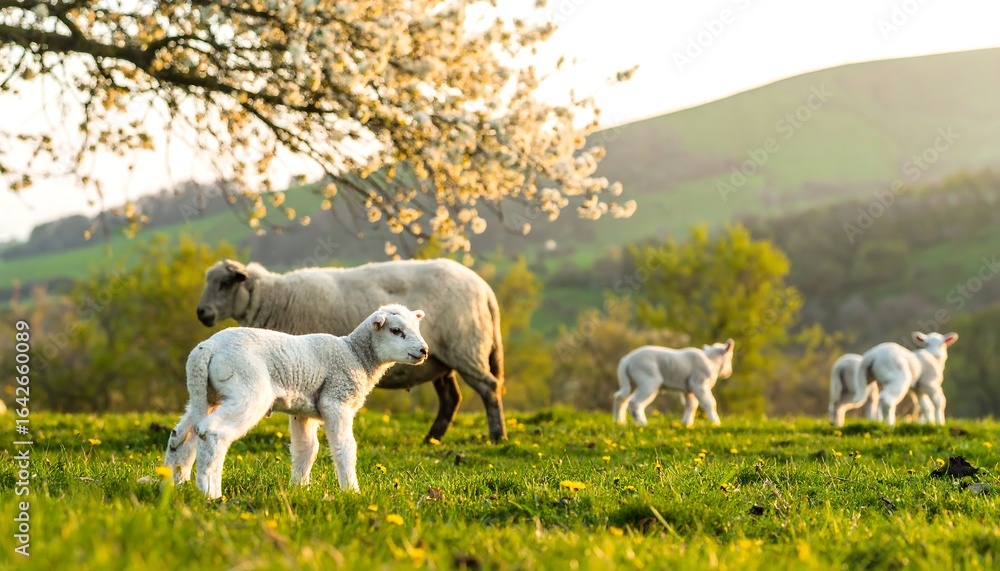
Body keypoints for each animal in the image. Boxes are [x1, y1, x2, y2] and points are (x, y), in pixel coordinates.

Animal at [163, 304, 429, 499]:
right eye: (396, 330)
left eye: (417, 327)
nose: (424, 350)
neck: (357, 356)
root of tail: (206, 348)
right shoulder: (336, 400)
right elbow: (345, 447)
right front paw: (352, 491)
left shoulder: (304, 412)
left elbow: (307, 449)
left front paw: (300, 489)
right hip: (248, 387)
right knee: (213, 432)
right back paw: (211, 494)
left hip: (206, 392)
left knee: (182, 435)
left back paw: (176, 483)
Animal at [194, 258, 506, 443]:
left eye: (225, 283)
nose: (202, 313)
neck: (271, 298)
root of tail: (486, 290)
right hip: (439, 359)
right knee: (452, 398)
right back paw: (432, 439)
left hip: (465, 348)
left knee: (489, 388)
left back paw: (497, 436)